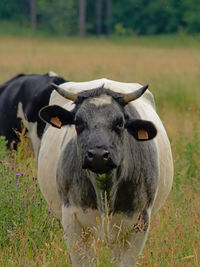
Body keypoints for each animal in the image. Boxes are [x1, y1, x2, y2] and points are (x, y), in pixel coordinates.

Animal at [37, 78, 173, 266]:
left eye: (120, 123)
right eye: (78, 122)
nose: (98, 155)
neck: (105, 191)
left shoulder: (140, 223)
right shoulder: (72, 222)